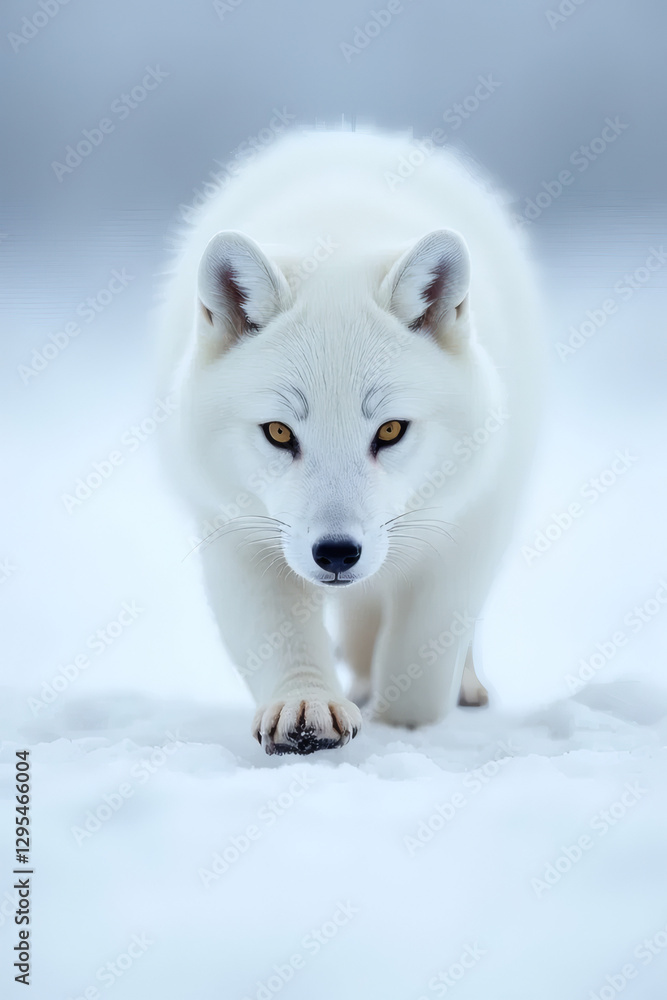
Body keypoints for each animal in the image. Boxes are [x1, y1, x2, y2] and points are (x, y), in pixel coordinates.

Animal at [159, 129, 542, 755]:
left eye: (389, 430)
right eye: (279, 432)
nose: (337, 553)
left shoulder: (466, 532)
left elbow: (420, 676)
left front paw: (403, 730)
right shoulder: (237, 535)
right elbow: (286, 643)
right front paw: (306, 707)